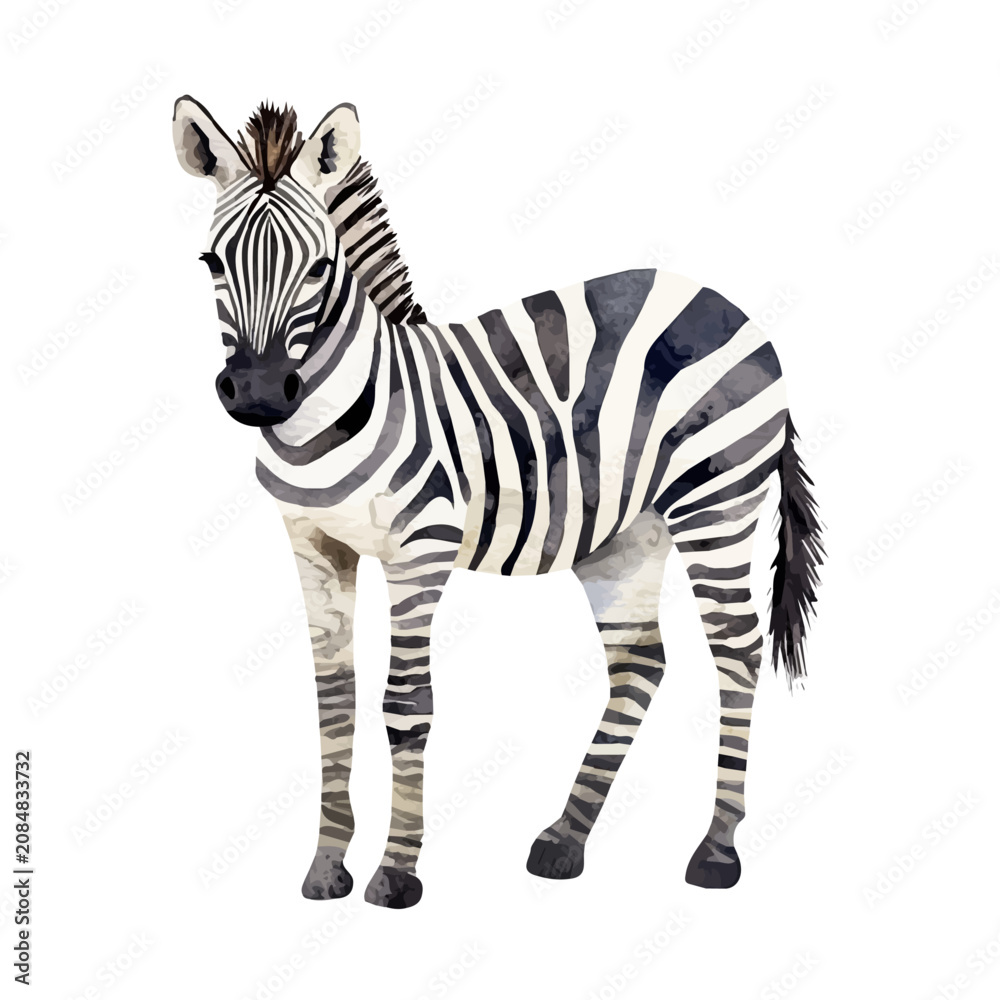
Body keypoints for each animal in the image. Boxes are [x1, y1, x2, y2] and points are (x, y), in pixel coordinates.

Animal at [172, 96, 824, 909]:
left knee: (736, 648)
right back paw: (565, 839)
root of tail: (729, 305)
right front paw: (325, 868)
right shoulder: (312, 543)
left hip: (719, 499)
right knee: (640, 660)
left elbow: (406, 705)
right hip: (626, 532)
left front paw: (396, 873)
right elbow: (334, 702)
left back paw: (716, 850)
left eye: (320, 266)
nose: (258, 393)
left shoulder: (419, 549)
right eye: (211, 262)